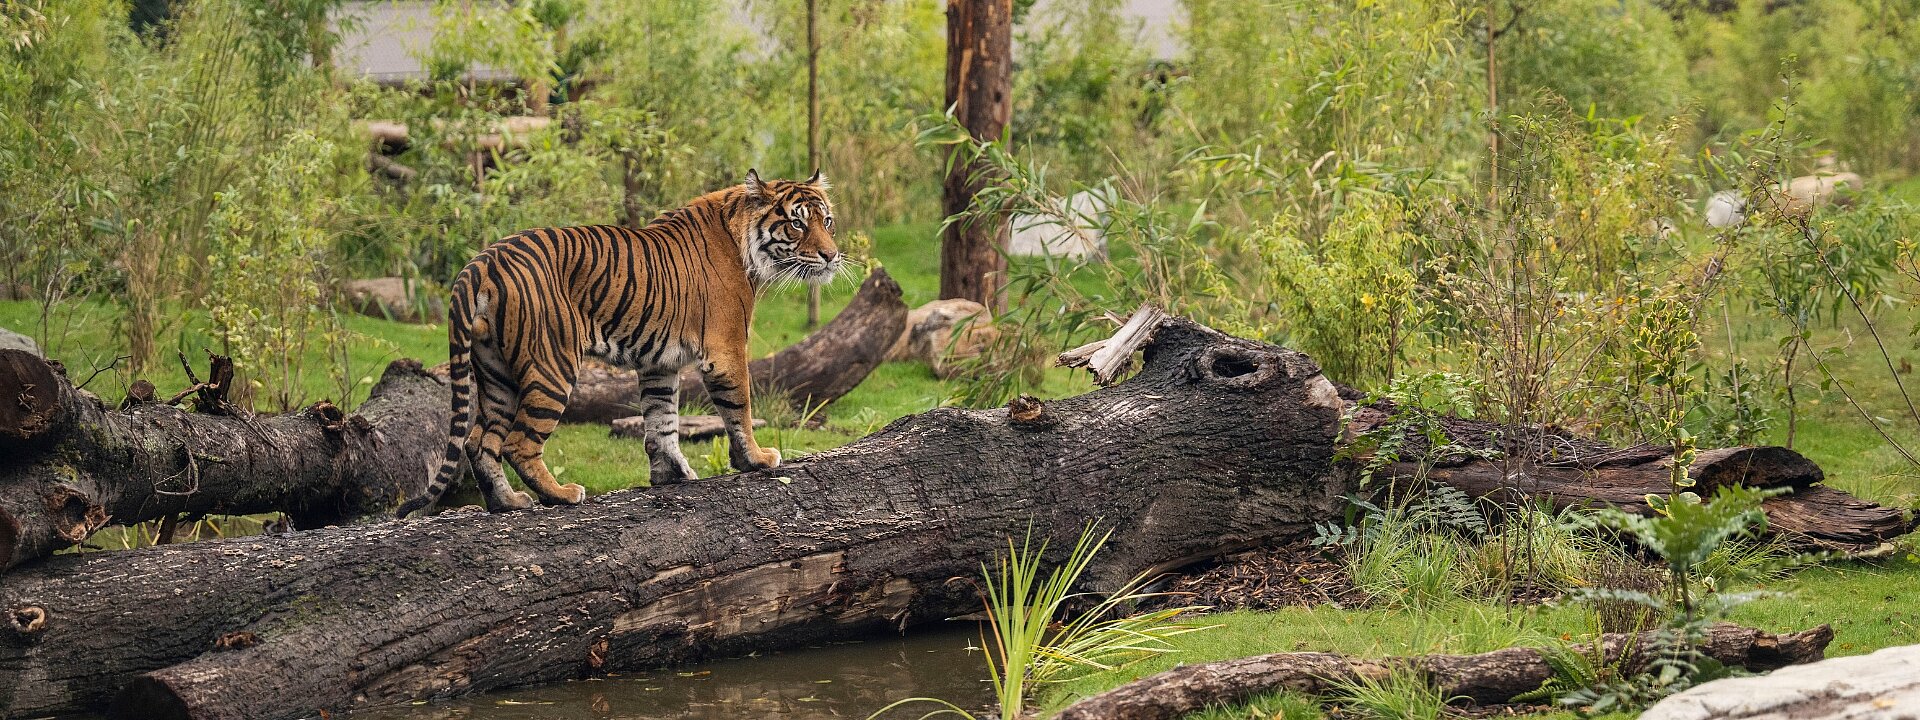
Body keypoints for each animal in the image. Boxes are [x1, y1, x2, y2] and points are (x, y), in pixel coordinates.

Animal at [395, 170, 841, 518]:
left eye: (828, 221)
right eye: (797, 224)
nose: (832, 256)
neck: (744, 241)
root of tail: (483, 260)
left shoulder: (659, 364)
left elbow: (662, 421)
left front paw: (671, 475)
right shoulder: (726, 349)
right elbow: (740, 408)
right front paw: (756, 460)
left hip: (495, 372)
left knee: (479, 442)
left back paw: (509, 503)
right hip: (552, 365)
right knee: (519, 443)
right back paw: (561, 495)